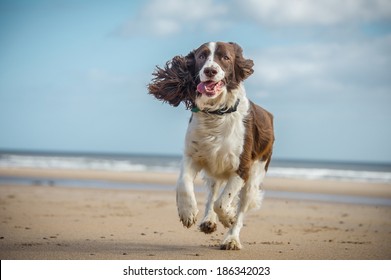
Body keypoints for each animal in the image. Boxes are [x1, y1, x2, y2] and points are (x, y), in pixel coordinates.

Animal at [149, 41, 274, 249]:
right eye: (201, 56)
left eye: (226, 58)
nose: (210, 71)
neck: (216, 113)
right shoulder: (192, 155)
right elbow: (183, 183)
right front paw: (187, 212)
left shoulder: (242, 167)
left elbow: (223, 203)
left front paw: (229, 217)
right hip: (215, 170)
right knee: (213, 193)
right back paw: (208, 221)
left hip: (255, 176)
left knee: (240, 207)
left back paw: (232, 238)